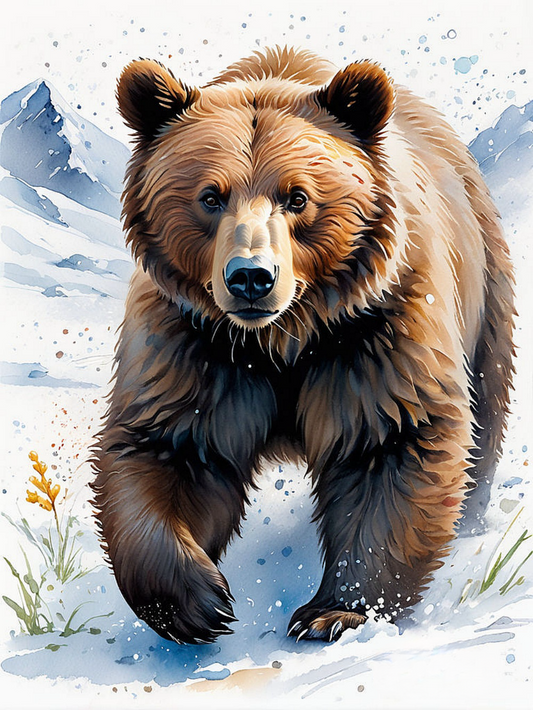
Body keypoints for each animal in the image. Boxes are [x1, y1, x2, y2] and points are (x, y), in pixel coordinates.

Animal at [92, 46, 515, 644]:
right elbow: (170, 447)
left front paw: (336, 612)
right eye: (209, 197)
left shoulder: (373, 333)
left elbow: (390, 443)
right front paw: (197, 602)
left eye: (297, 197)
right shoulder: (196, 344)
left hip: (485, 295)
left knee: (485, 408)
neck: (284, 339)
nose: (251, 277)